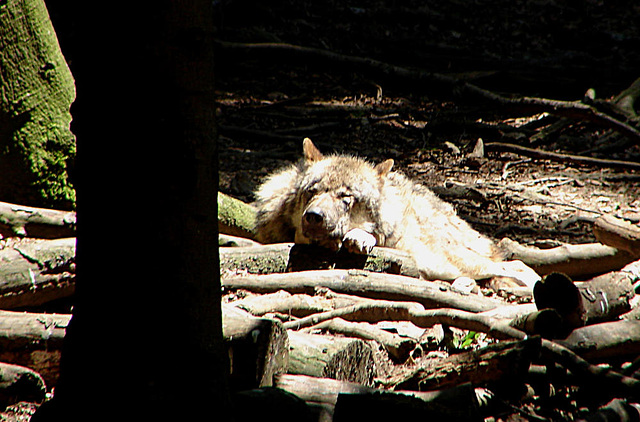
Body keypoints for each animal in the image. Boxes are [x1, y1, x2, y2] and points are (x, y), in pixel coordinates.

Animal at [255, 138, 540, 286]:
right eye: (312, 192)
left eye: (346, 197)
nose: (314, 216)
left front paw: (360, 237)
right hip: (446, 267)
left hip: (461, 261)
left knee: (514, 266)